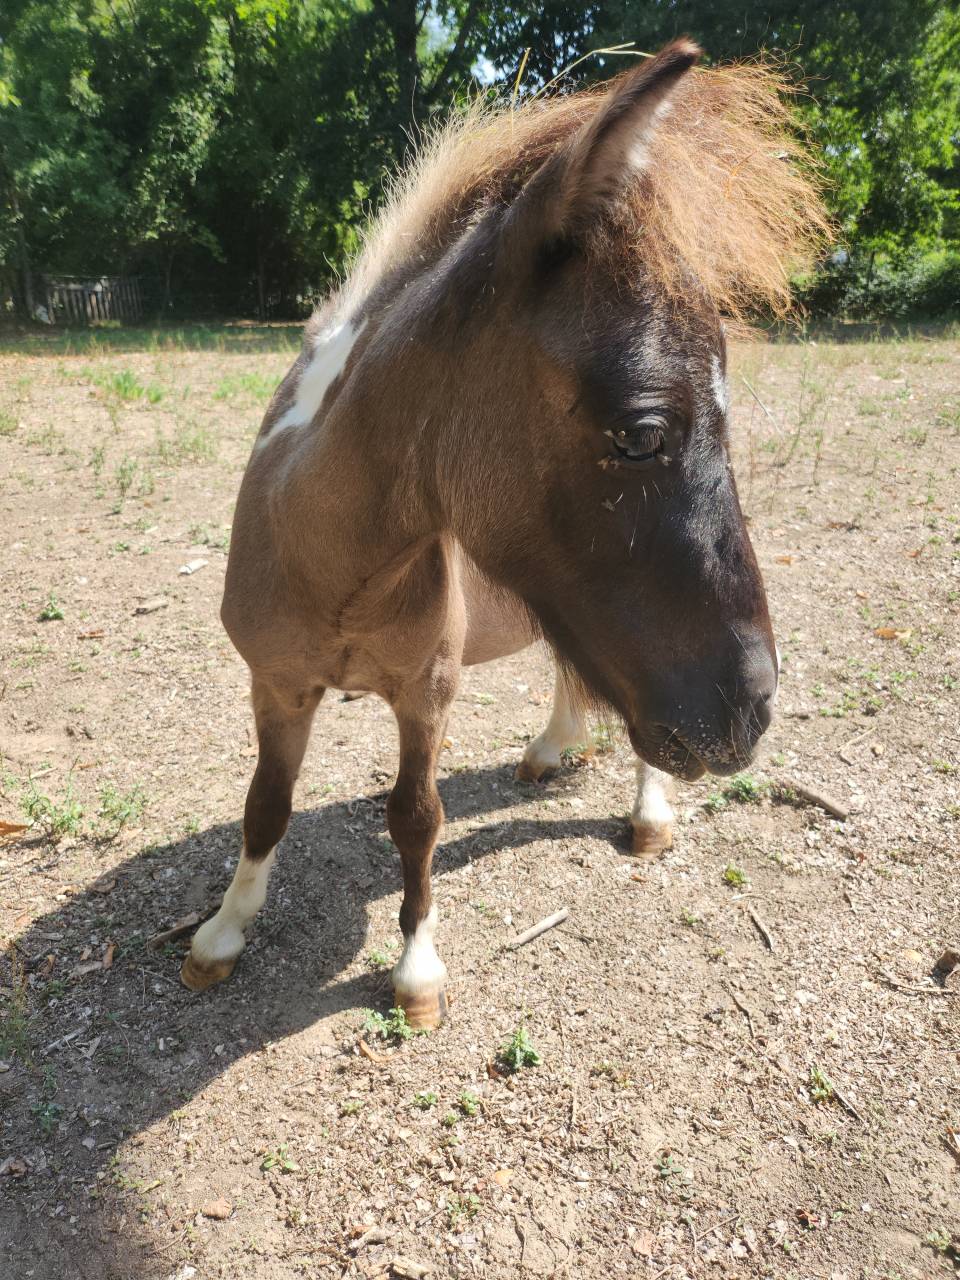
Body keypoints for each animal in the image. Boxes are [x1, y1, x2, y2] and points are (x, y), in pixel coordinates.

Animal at [181, 40, 827, 1028]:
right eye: (641, 433)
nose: (751, 708)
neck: (335, 568)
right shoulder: (277, 685)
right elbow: (266, 805)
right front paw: (222, 931)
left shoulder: (427, 693)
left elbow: (416, 817)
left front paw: (416, 970)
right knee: (576, 672)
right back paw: (552, 748)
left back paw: (648, 812)